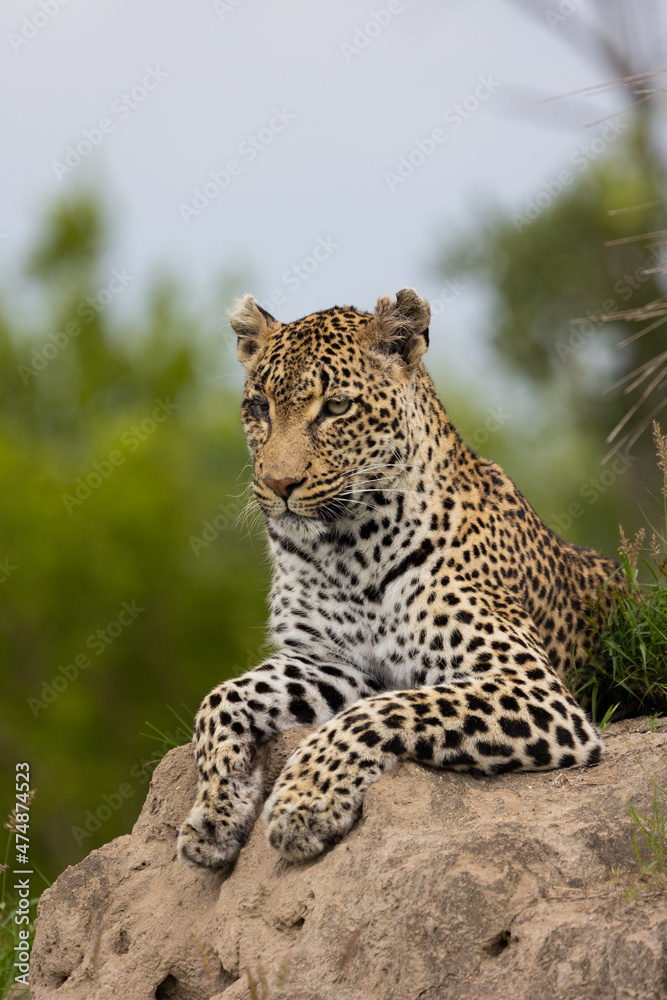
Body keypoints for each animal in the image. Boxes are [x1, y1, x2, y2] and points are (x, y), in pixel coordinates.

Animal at [177, 287, 618, 869]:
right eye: (259, 408)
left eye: (336, 407)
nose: (277, 484)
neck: (347, 552)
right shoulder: (332, 663)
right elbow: (220, 697)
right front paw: (215, 813)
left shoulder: (533, 688)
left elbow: (381, 711)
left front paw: (304, 801)